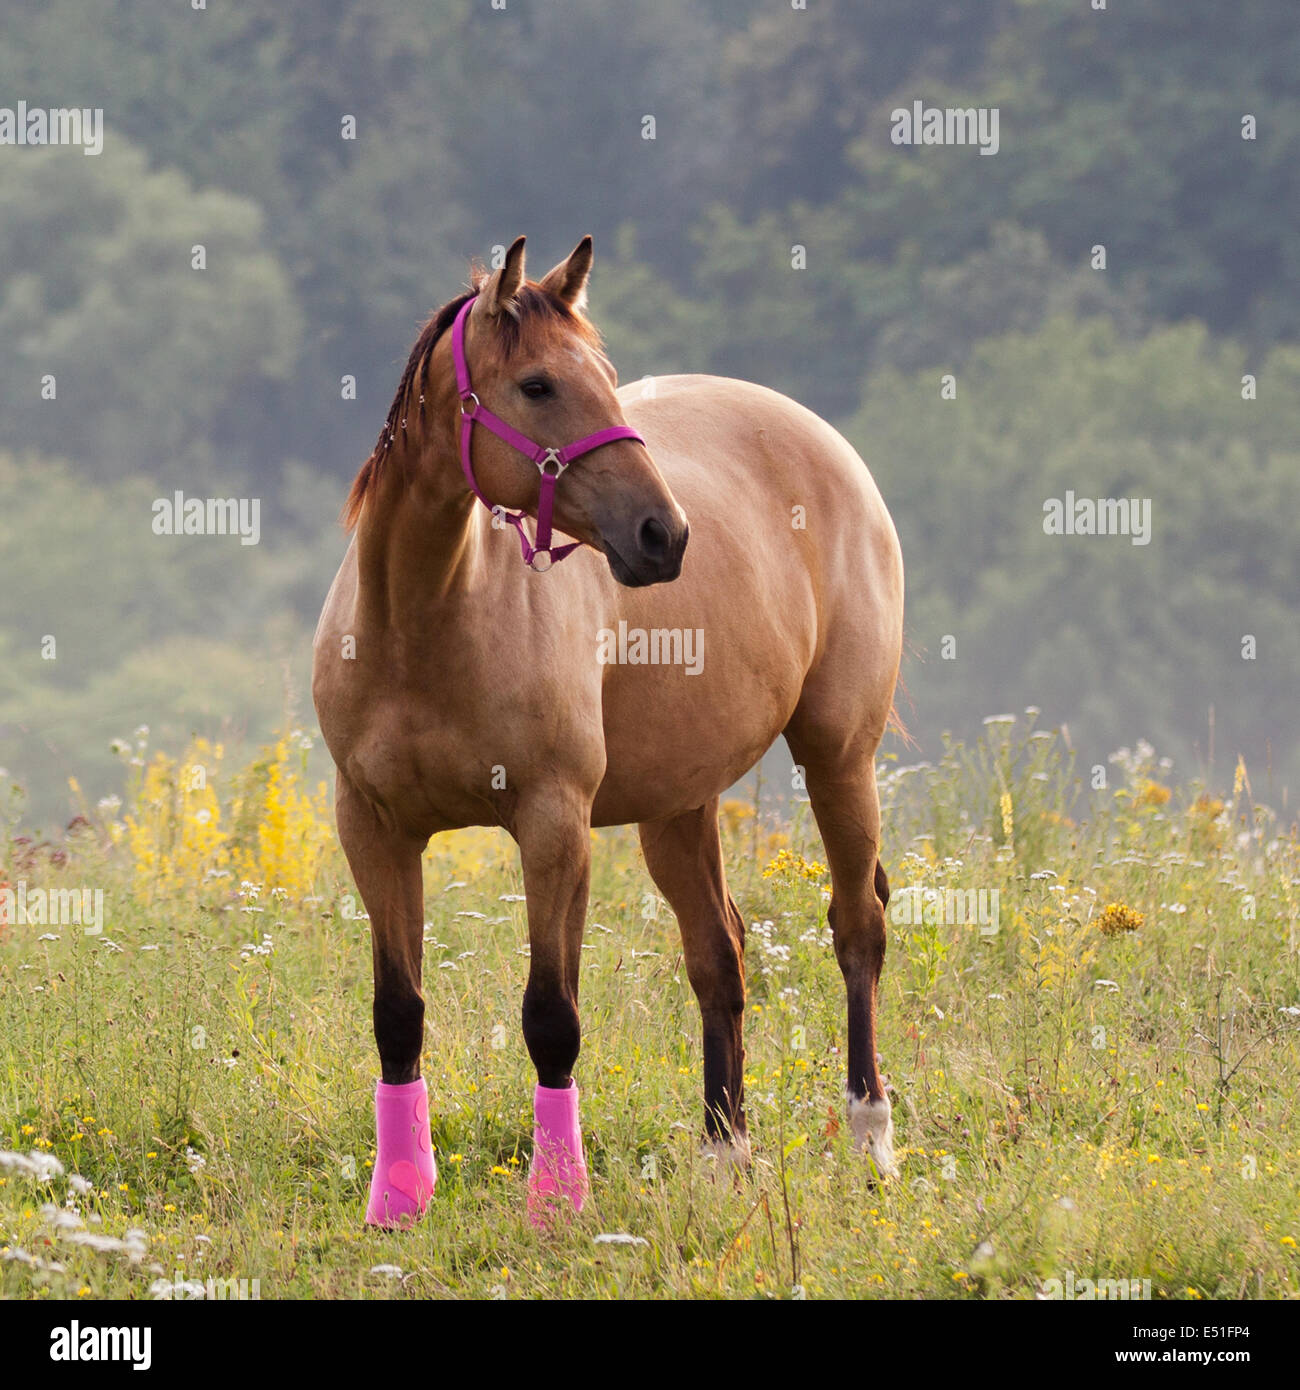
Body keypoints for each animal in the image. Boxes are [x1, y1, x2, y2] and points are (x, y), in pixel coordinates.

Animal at [312, 236, 904, 1228]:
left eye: (610, 379)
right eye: (539, 386)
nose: (664, 535)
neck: (426, 623)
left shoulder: (554, 825)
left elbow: (552, 1017)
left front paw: (558, 1199)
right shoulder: (375, 829)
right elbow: (398, 1012)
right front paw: (398, 1198)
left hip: (839, 756)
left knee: (856, 928)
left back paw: (870, 1141)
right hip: (679, 805)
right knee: (719, 956)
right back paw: (725, 1155)